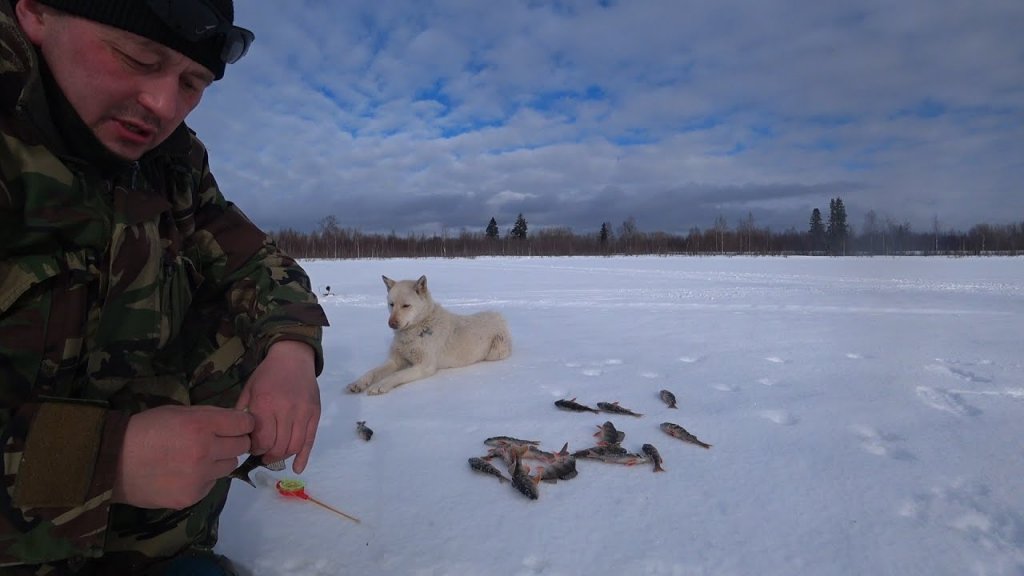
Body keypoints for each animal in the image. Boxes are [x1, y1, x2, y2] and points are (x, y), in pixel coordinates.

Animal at [346, 274, 512, 393]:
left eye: (406, 305)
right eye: (391, 304)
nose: (391, 323)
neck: (418, 329)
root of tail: (499, 316)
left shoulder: (424, 367)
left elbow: (396, 375)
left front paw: (381, 385)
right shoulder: (395, 361)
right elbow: (372, 371)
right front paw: (359, 383)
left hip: (494, 352)